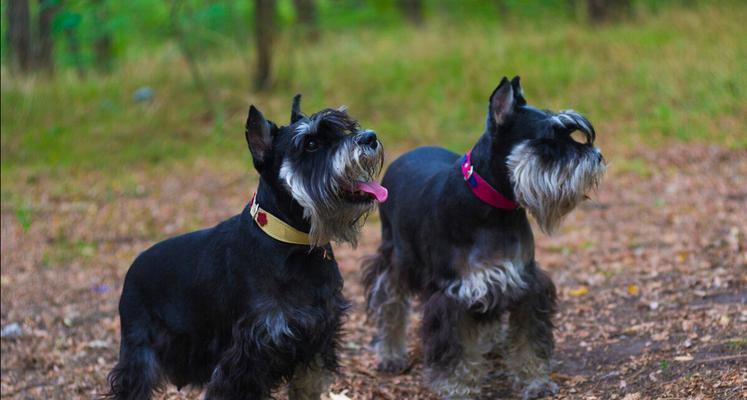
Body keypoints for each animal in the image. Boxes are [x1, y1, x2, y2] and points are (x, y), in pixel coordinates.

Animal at [106, 95, 386, 398]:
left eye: (345, 128)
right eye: (311, 143)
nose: (370, 137)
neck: (293, 244)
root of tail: (132, 268)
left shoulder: (316, 340)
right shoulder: (247, 356)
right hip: (139, 354)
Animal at [364, 76, 608, 398]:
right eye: (546, 142)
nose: (597, 157)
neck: (493, 206)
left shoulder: (523, 282)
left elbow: (529, 340)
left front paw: (535, 381)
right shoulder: (452, 295)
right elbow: (454, 350)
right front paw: (458, 387)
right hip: (394, 259)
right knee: (390, 304)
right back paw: (391, 354)